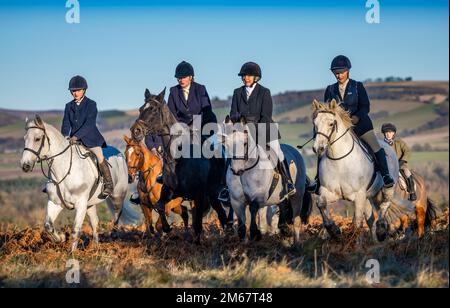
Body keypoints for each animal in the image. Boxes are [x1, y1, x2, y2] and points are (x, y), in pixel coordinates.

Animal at [19, 114, 139, 251]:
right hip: (90, 203)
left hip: (117, 196)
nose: (25, 166)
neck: (63, 170)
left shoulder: (80, 204)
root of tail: (119, 154)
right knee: (95, 222)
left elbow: (76, 228)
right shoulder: (55, 202)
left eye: (37, 139)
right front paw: (61, 238)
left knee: (117, 216)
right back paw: (95, 247)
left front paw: (72, 252)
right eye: (25, 138)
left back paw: (113, 238)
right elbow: (48, 225)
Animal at [130, 87, 232, 243]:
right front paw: (168, 229)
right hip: (212, 195)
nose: (135, 131)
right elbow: (160, 207)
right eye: (141, 108)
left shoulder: (198, 195)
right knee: (221, 215)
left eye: (154, 110)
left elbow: (197, 224)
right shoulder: (170, 191)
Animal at [219, 114, 312, 242]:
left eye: (245, 143)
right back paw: (283, 228)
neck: (246, 170)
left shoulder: (260, 196)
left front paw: (255, 233)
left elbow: (253, 208)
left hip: (297, 195)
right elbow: (242, 223)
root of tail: (295, 150)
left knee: (296, 220)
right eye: (226, 145)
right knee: (282, 205)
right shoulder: (236, 201)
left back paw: (296, 242)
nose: (237, 170)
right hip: (280, 196)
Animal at [312, 100, 416, 242]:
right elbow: (320, 204)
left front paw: (354, 241)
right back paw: (374, 240)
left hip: (387, 189)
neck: (339, 161)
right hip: (369, 195)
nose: (318, 148)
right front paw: (334, 231)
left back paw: (381, 231)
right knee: (371, 217)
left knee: (384, 206)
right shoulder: (329, 192)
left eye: (331, 124)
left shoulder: (358, 195)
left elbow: (357, 221)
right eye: (315, 124)